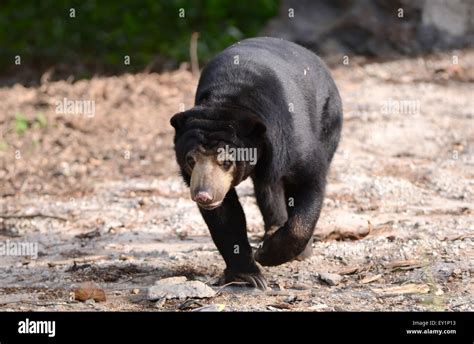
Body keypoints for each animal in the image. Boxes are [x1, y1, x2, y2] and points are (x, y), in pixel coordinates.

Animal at [170, 37, 340, 288]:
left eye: (226, 161)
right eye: (190, 159)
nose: (203, 195)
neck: (230, 100)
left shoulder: (292, 139)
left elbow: (309, 184)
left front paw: (267, 253)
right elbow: (225, 216)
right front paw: (248, 275)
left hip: (329, 118)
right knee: (267, 188)